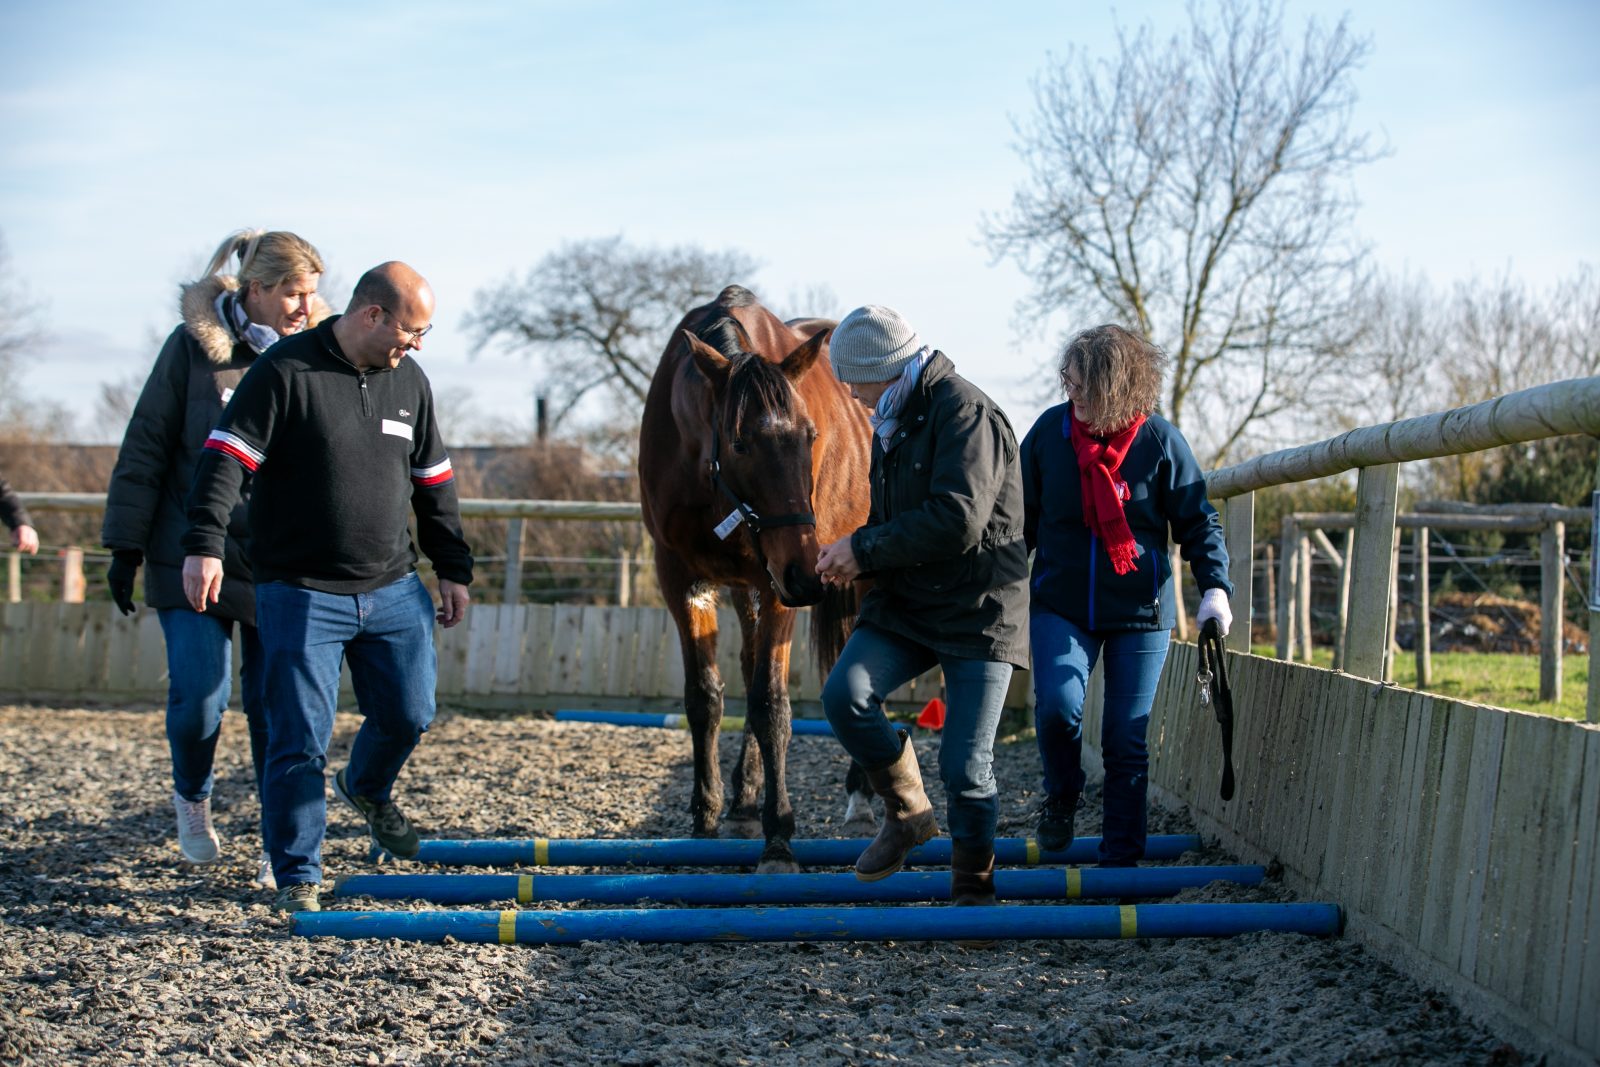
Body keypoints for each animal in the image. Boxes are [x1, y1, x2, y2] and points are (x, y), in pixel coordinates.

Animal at [636, 286, 876, 876]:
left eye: (810, 436)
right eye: (741, 443)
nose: (807, 574)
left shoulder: (777, 585)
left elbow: (771, 704)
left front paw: (779, 837)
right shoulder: (681, 576)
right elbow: (705, 697)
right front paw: (705, 816)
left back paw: (860, 797)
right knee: (745, 667)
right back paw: (744, 801)